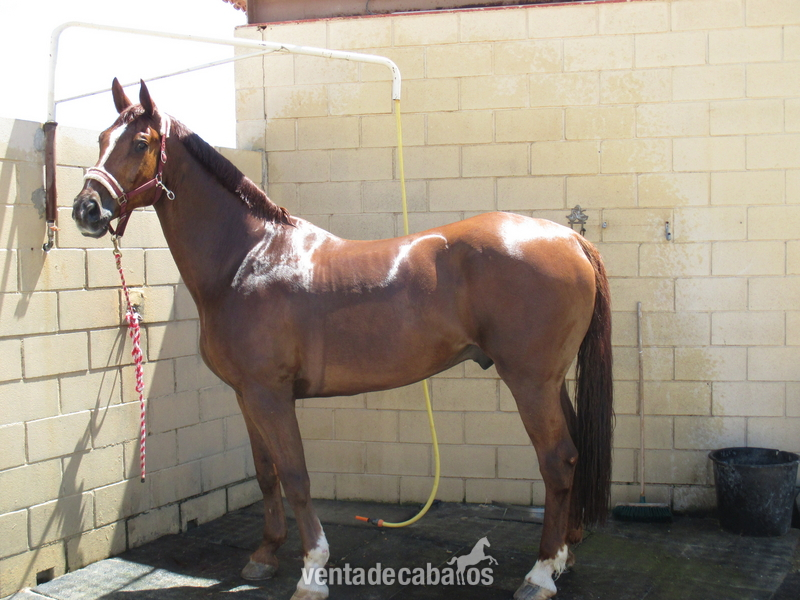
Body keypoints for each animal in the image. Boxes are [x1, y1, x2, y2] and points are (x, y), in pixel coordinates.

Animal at [72, 79, 613, 600]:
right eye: (100, 139)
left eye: (141, 142)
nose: (86, 208)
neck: (248, 258)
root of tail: (569, 238)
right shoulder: (246, 395)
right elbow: (266, 473)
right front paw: (264, 556)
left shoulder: (271, 394)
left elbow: (295, 475)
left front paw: (312, 572)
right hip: (550, 381)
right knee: (573, 453)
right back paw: (563, 557)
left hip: (529, 380)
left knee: (557, 460)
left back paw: (539, 575)